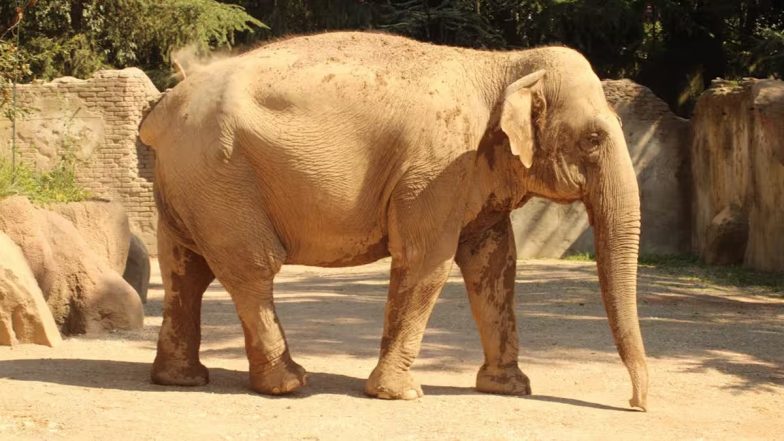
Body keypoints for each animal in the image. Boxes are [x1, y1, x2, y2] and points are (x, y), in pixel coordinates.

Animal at [139, 31, 648, 410]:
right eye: (594, 138)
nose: (636, 403)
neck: (503, 65)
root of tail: (162, 109)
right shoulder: (438, 167)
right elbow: (427, 261)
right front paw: (402, 395)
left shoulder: (468, 174)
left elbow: (495, 265)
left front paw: (510, 388)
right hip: (222, 177)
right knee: (252, 267)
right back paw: (289, 383)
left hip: (190, 184)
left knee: (185, 269)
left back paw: (182, 379)